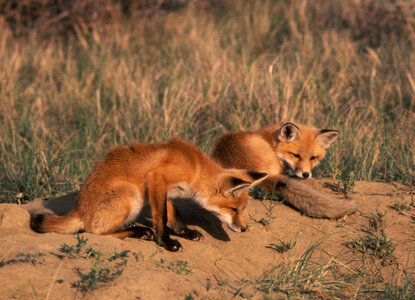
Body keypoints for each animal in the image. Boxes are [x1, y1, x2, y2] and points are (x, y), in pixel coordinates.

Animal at [30, 137, 268, 252]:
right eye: (234, 210)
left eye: (242, 210)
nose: (244, 228)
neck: (195, 167)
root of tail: (79, 209)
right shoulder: (156, 179)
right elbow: (161, 218)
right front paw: (167, 243)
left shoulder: (166, 191)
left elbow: (174, 215)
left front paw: (184, 232)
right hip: (131, 195)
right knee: (93, 231)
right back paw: (138, 231)